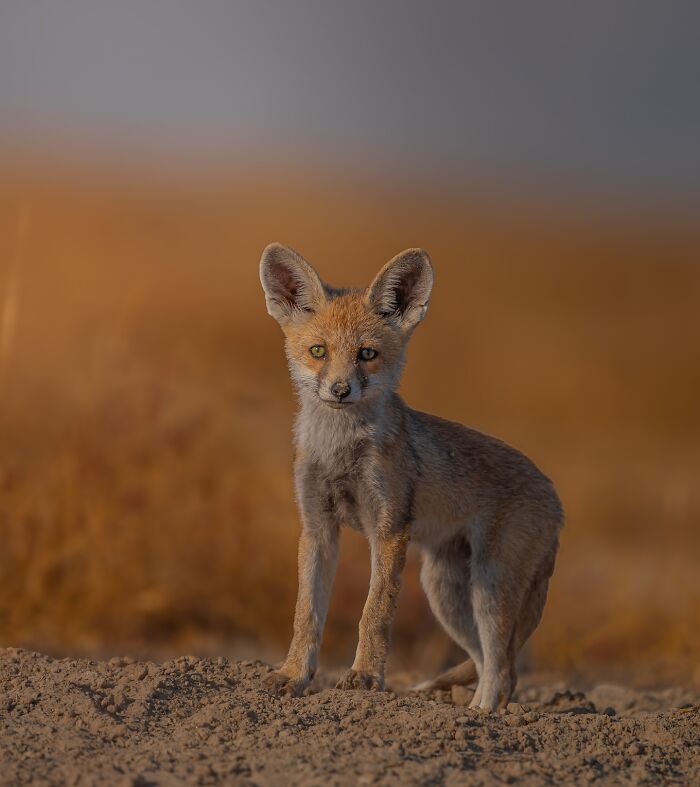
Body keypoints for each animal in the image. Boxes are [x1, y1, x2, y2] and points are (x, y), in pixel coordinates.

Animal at [259, 243, 563, 711]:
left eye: (367, 354)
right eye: (318, 351)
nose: (340, 390)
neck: (340, 452)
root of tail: (556, 496)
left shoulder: (387, 529)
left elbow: (374, 613)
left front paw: (365, 677)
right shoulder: (316, 527)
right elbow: (306, 614)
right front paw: (293, 676)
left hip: (488, 589)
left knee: (503, 667)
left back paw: (480, 715)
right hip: (446, 594)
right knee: (486, 663)